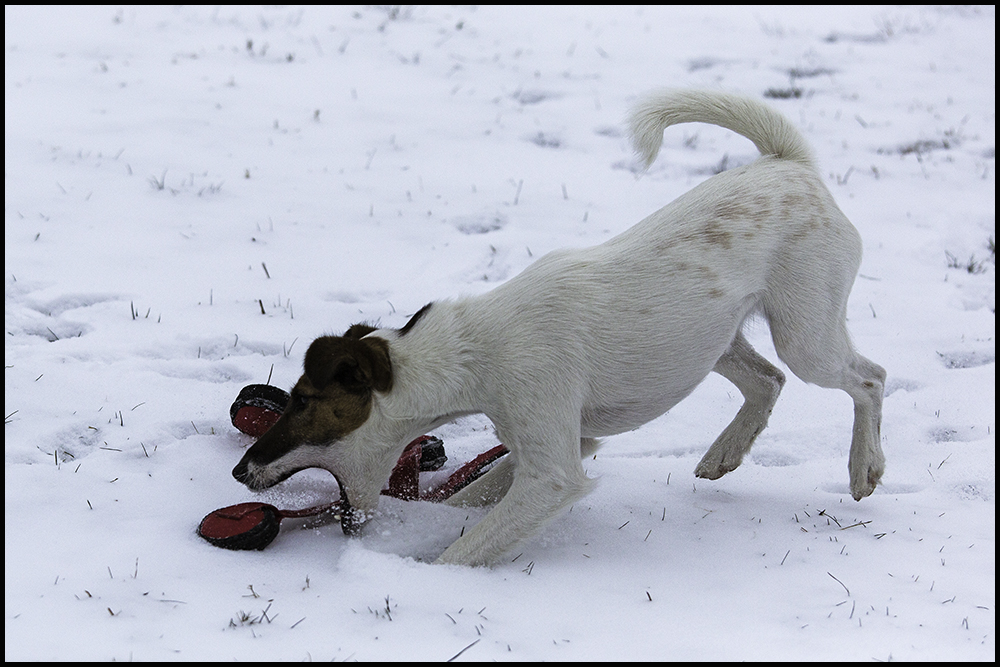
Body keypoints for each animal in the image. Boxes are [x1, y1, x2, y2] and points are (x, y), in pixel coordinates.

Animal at [232, 88, 884, 568]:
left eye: (302, 402)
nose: (240, 470)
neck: (474, 352)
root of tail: (789, 166)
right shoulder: (563, 441)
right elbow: (472, 499)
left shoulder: (552, 474)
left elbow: (465, 549)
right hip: (711, 339)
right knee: (767, 380)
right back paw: (726, 451)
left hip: (805, 332)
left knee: (868, 378)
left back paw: (864, 466)